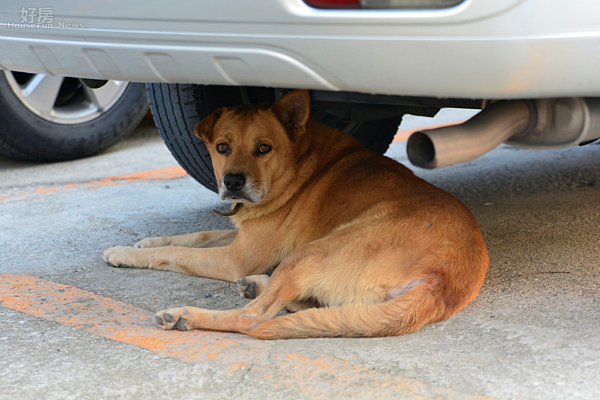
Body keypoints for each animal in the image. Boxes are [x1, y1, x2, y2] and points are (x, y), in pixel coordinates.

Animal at [102, 90, 488, 338]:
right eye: (222, 147)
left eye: (263, 148)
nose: (232, 182)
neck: (300, 161)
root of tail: (439, 281)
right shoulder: (245, 235)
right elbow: (197, 235)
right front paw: (143, 242)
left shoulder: (236, 258)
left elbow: (176, 253)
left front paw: (124, 253)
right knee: (319, 311)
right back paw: (259, 286)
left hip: (310, 252)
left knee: (253, 319)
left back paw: (186, 315)